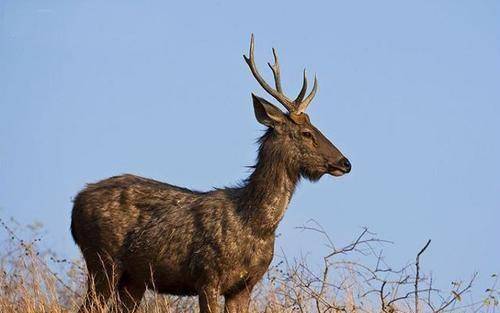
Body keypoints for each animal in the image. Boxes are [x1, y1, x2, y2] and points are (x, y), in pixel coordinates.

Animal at [70, 34, 352, 312]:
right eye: (306, 133)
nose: (345, 162)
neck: (255, 224)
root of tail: (75, 205)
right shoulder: (208, 277)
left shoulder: (244, 286)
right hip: (103, 260)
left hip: (134, 278)